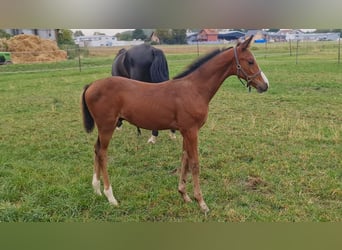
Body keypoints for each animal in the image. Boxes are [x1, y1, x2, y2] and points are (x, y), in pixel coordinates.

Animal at [81, 36, 268, 213]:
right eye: (250, 61)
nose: (265, 85)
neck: (194, 89)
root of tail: (91, 85)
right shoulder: (192, 131)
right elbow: (194, 163)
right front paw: (202, 203)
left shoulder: (185, 131)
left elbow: (184, 159)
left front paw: (184, 195)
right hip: (107, 126)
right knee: (103, 153)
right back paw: (110, 197)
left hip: (103, 128)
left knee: (96, 149)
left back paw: (96, 189)